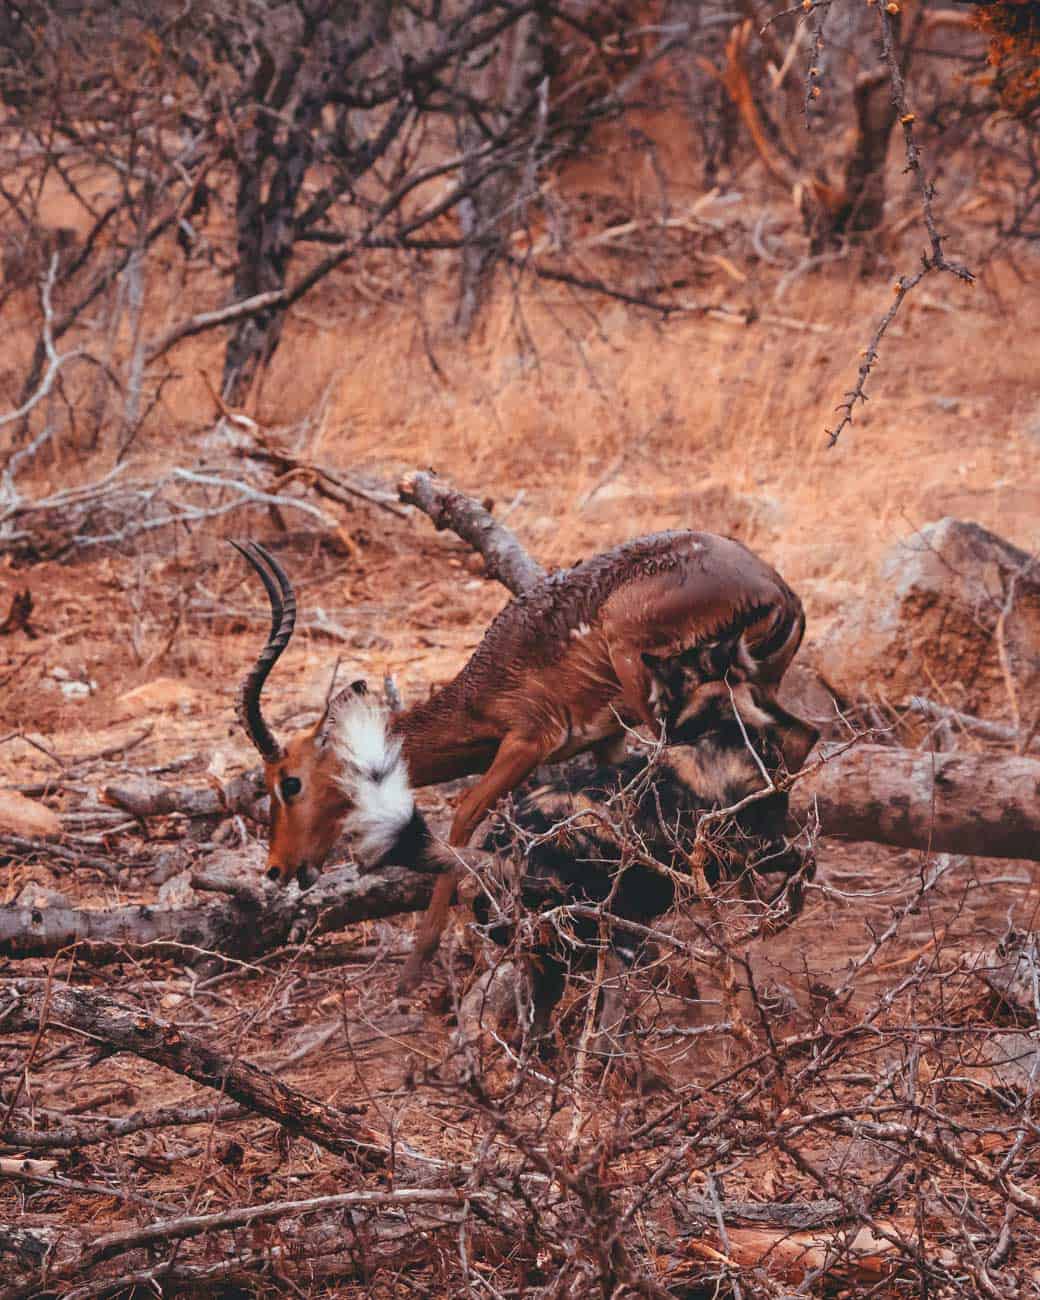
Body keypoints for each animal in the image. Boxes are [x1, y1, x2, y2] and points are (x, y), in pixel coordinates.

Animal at [231, 531, 808, 991]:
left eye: (289, 782)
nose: (278, 867)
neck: (479, 694)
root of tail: (776, 587)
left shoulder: (527, 743)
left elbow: (464, 815)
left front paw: (415, 970)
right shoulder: (604, 740)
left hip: (648, 678)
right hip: (749, 690)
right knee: (789, 748)